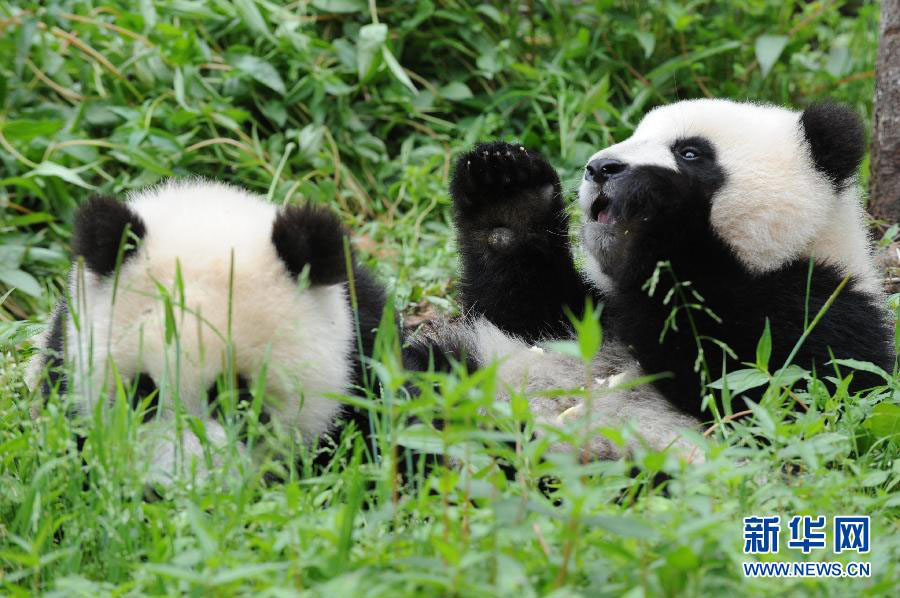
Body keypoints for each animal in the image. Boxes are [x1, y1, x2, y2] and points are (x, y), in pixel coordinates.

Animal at [434, 98, 892, 458]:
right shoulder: (588, 314)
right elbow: (521, 308)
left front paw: (654, 199)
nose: (601, 168)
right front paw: (506, 188)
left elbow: (758, 378)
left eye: (690, 152)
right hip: (475, 375)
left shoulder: (828, 309)